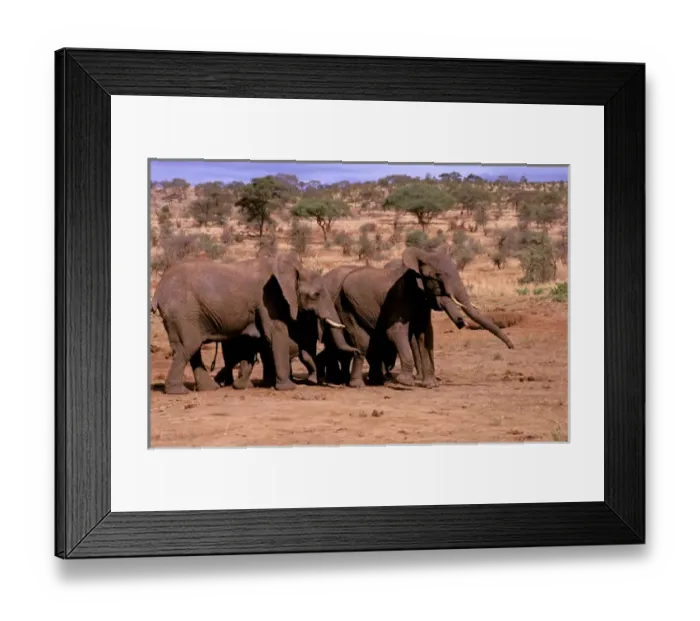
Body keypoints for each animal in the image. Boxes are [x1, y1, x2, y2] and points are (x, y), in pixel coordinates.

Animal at [150, 252, 356, 393]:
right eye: (316, 295)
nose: (357, 350)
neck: (290, 269)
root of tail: (158, 290)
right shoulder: (267, 299)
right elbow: (276, 333)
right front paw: (288, 388)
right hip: (182, 310)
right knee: (190, 345)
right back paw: (178, 392)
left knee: (190, 347)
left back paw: (210, 388)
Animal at [332, 246, 515, 388]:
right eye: (438, 275)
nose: (512, 347)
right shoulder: (399, 298)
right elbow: (395, 331)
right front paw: (405, 383)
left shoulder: (422, 303)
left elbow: (426, 334)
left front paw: (431, 384)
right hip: (345, 305)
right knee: (363, 342)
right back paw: (358, 384)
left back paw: (377, 382)